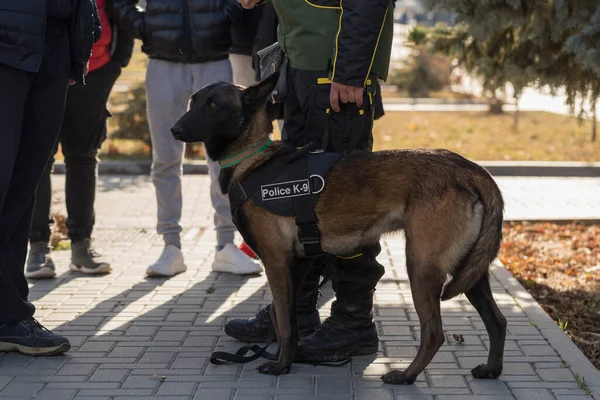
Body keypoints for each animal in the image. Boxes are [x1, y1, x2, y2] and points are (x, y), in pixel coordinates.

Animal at [171, 72, 508, 384]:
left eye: (213, 105)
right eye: (193, 101)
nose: (175, 129)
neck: (252, 160)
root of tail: (469, 168)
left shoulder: (277, 262)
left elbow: (285, 322)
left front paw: (281, 365)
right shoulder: (299, 262)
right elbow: (285, 317)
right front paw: (287, 356)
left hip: (422, 267)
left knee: (435, 333)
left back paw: (406, 375)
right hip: (468, 271)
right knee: (498, 321)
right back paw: (491, 369)